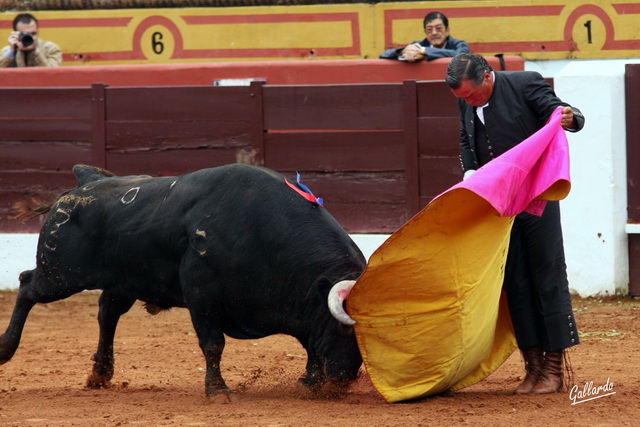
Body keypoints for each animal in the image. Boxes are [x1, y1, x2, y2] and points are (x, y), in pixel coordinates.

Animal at [0, 165, 364, 402]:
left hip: (124, 280)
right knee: (28, 285)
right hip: (61, 275)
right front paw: (218, 392)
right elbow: (213, 344)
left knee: (107, 313)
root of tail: (85, 183)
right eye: (346, 330)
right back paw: (5, 349)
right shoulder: (202, 294)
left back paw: (101, 374)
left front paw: (308, 380)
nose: (344, 379)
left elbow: (310, 345)